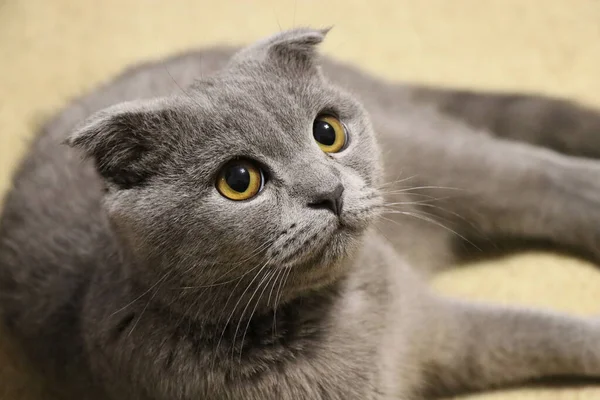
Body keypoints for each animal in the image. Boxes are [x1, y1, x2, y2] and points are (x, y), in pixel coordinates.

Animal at [1, 27, 600, 400]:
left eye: (327, 132)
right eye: (239, 181)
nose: (328, 191)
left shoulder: (440, 330)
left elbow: (548, 330)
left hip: (446, 160)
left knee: (550, 178)